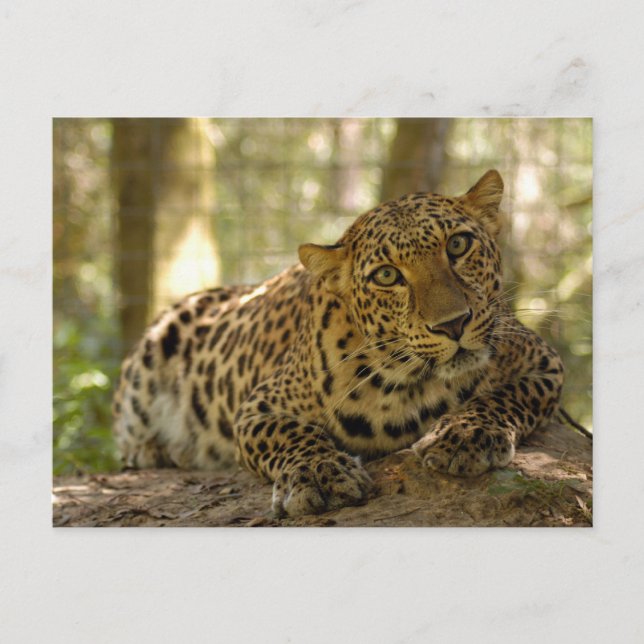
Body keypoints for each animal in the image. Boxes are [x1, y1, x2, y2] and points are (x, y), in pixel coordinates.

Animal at [112, 170, 564, 517]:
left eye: (457, 245)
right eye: (387, 276)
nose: (453, 324)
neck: (412, 384)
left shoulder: (543, 361)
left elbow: (506, 395)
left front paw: (468, 435)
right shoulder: (259, 407)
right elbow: (289, 433)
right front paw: (319, 475)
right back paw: (164, 448)